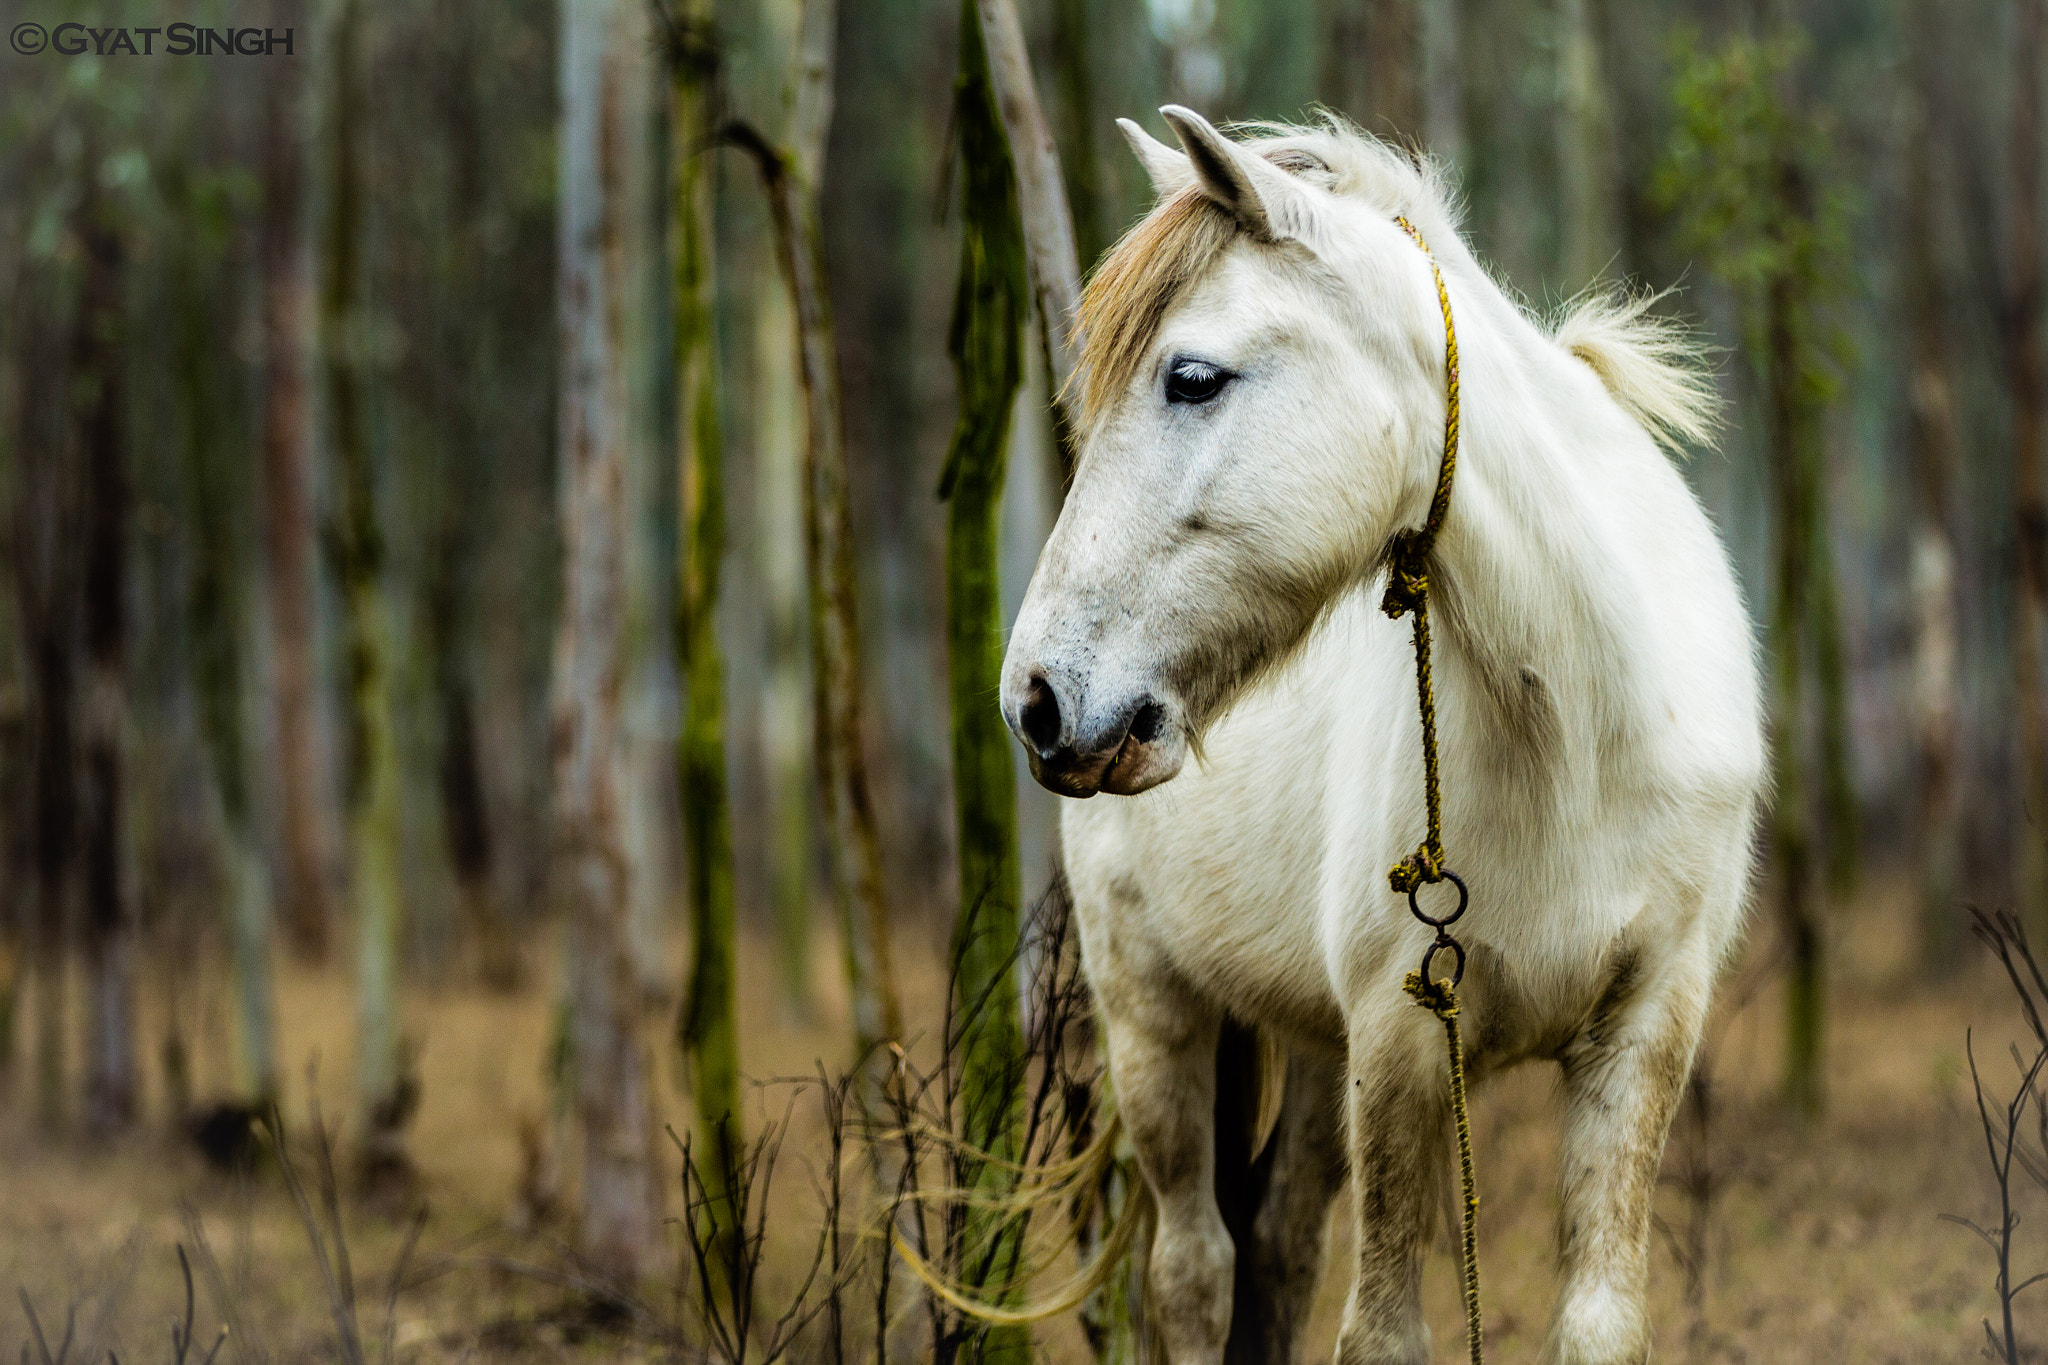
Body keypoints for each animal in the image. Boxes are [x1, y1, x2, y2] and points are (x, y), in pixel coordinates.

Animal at [999, 107, 1763, 1365]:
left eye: (1190, 377)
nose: (1037, 701)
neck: (1578, 733)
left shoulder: (1647, 1025)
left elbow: (1595, 1322)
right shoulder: (1402, 1041)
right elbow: (1383, 1332)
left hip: (1316, 1047)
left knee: (1274, 1247)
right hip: (1154, 1013)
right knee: (1195, 1271)